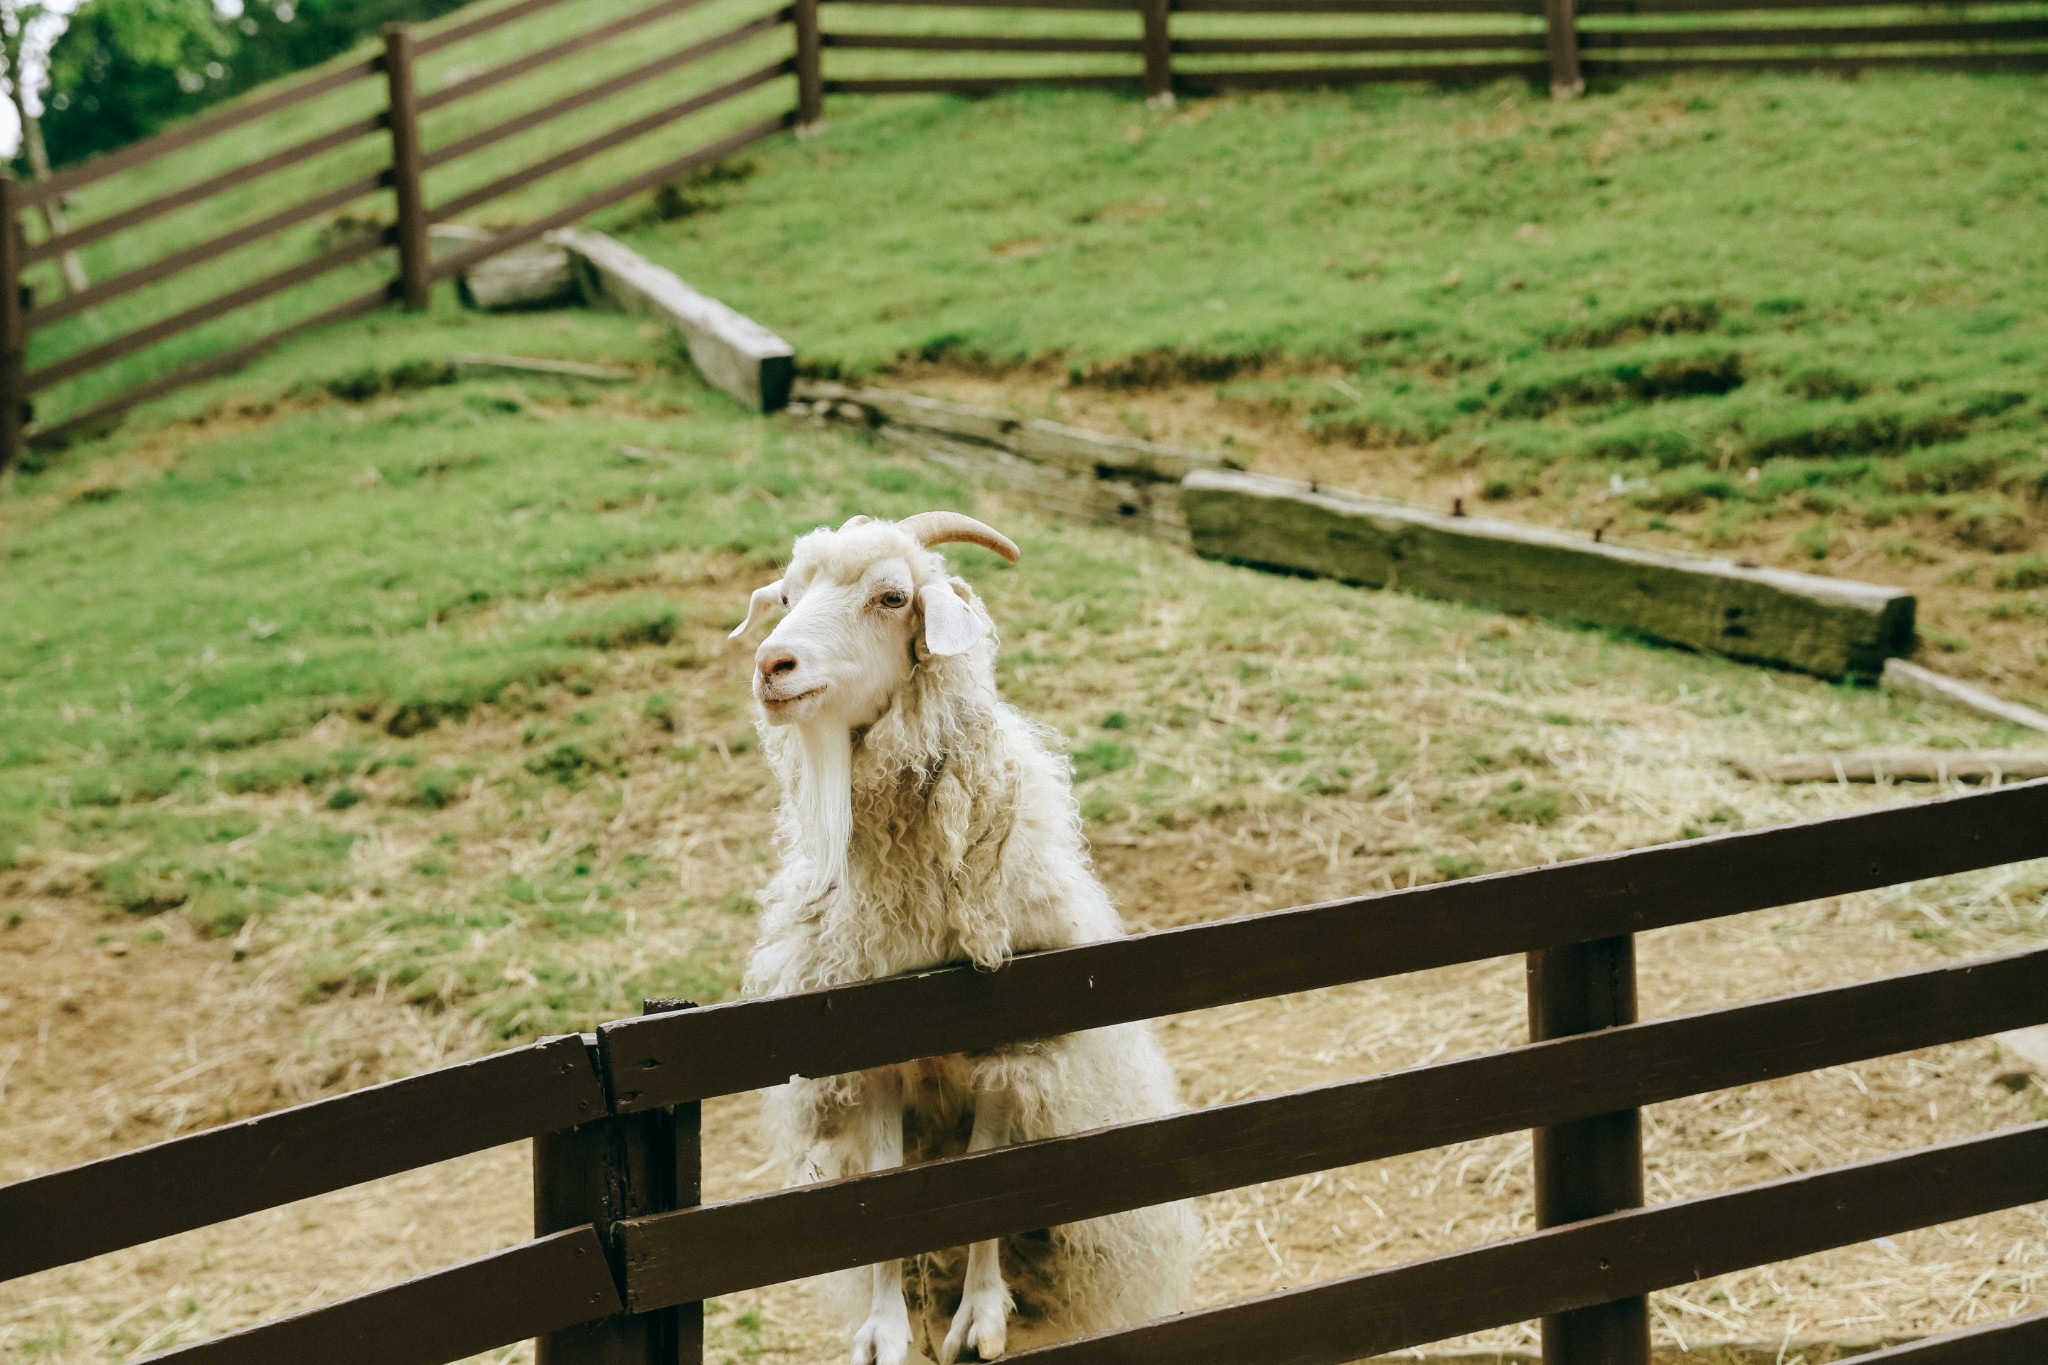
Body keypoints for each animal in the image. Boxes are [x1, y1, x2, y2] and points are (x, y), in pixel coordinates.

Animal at [729, 509, 1196, 1365]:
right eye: (785, 594)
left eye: (892, 596)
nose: (772, 664)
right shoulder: (873, 1060)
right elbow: (882, 1183)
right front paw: (884, 1329)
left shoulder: (1011, 1055)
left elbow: (986, 1174)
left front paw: (980, 1318)